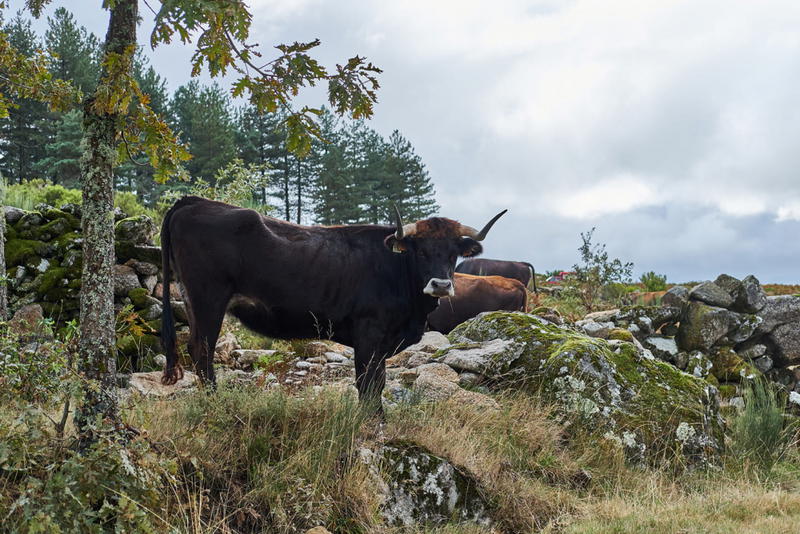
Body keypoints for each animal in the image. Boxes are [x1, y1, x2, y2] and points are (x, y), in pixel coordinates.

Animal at [159, 196, 506, 411]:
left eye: (454, 253)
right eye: (419, 250)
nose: (441, 285)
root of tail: (194, 201)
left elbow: (377, 382)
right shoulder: (369, 334)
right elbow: (368, 385)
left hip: (193, 300)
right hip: (208, 297)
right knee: (203, 350)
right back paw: (214, 402)